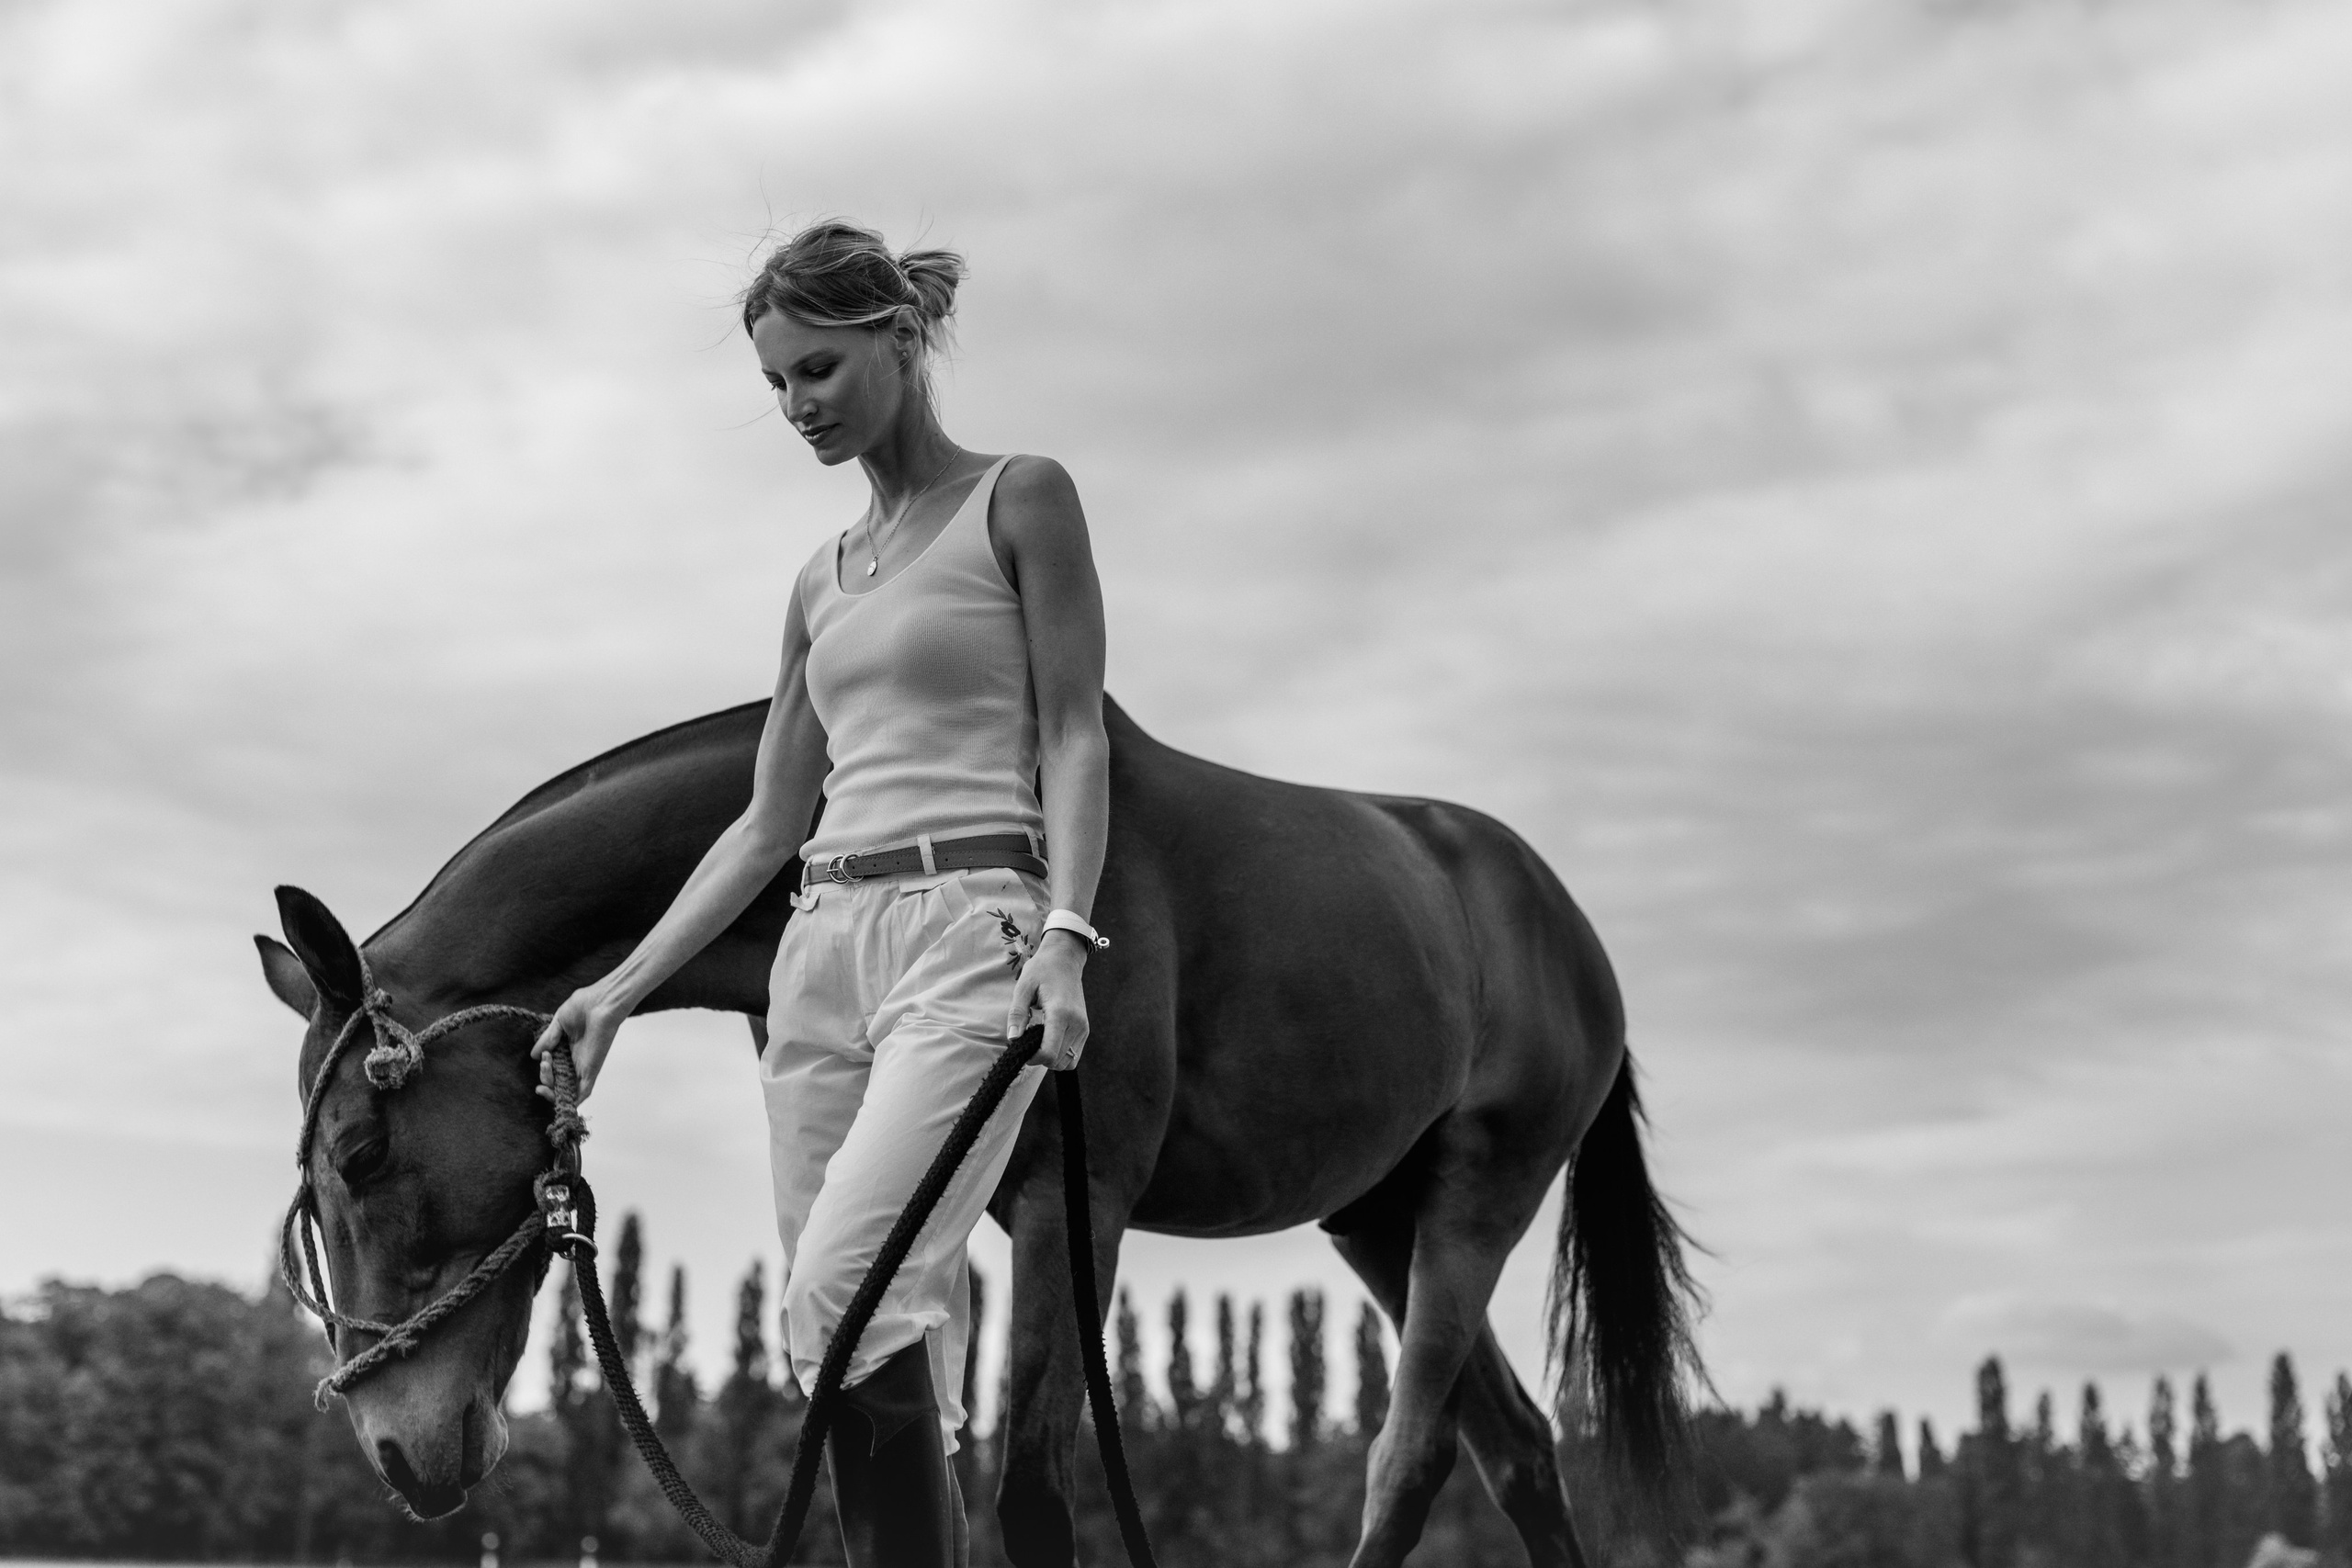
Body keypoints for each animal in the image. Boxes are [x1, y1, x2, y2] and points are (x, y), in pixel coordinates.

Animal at [256, 694, 1702, 1567]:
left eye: (361, 1156)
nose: (395, 1448)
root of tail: (1557, 913)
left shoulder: (1075, 1205)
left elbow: (1027, 1489)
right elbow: (910, 1460)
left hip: (1472, 1199)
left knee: (1412, 1452)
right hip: (1374, 1221)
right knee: (1516, 1447)